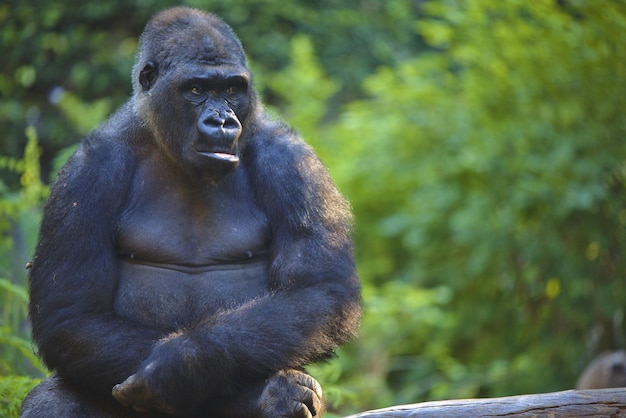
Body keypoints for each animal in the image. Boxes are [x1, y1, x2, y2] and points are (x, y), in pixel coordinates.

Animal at [20, 7, 360, 418]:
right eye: (196, 90)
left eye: (231, 89)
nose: (222, 121)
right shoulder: (86, 174)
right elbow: (73, 316)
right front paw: (257, 391)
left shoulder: (294, 164)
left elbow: (319, 290)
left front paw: (181, 366)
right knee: (54, 401)